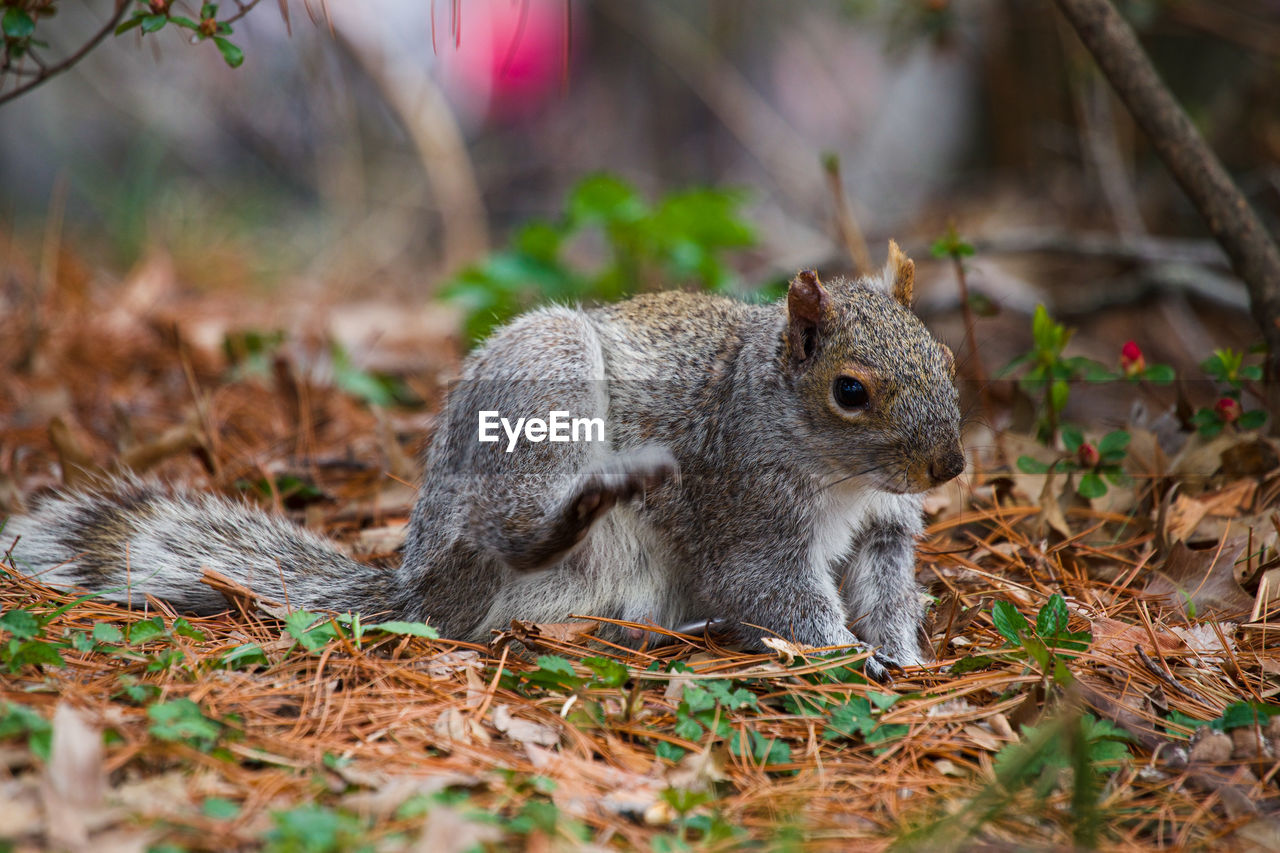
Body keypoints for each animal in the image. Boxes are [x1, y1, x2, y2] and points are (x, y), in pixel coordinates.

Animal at [2, 242, 962, 681]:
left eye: (947, 357)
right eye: (849, 391)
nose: (949, 466)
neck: (842, 479)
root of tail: (422, 589)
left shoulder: (884, 528)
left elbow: (885, 587)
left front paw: (905, 656)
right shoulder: (746, 506)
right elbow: (773, 588)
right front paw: (849, 657)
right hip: (540, 394)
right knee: (513, 539)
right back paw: (583, 511)